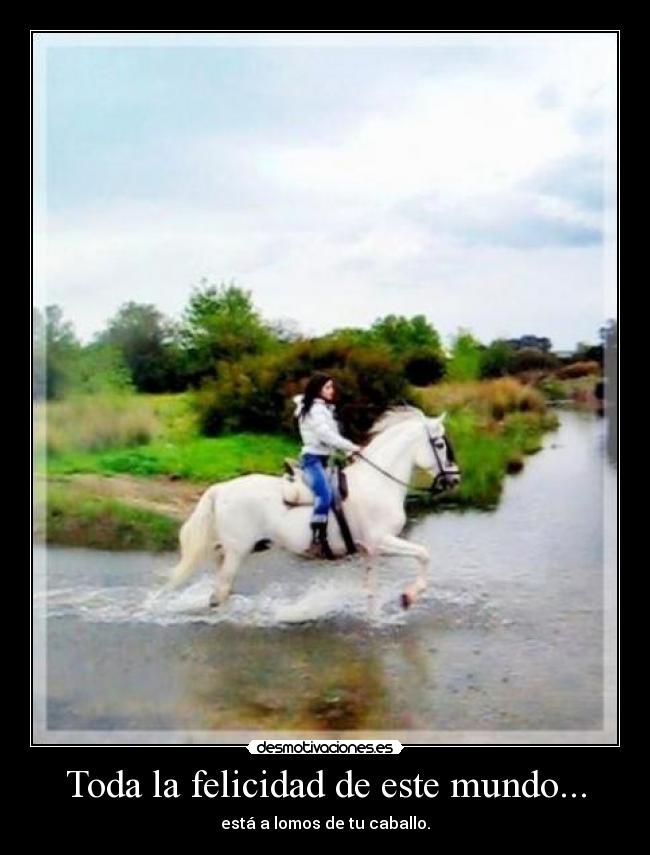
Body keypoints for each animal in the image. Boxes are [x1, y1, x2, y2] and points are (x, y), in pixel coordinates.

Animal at [167, 406, 460, 609]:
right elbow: (423, 554)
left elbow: (371, 589)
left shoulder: (370, 551)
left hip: (230, 550)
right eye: (440, 444)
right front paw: (409, 596)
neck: (378, 482)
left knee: (220, 587)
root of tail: (221, 488)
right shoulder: (382, 541)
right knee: (221, 590)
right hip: (238, 552)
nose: (455, 479)